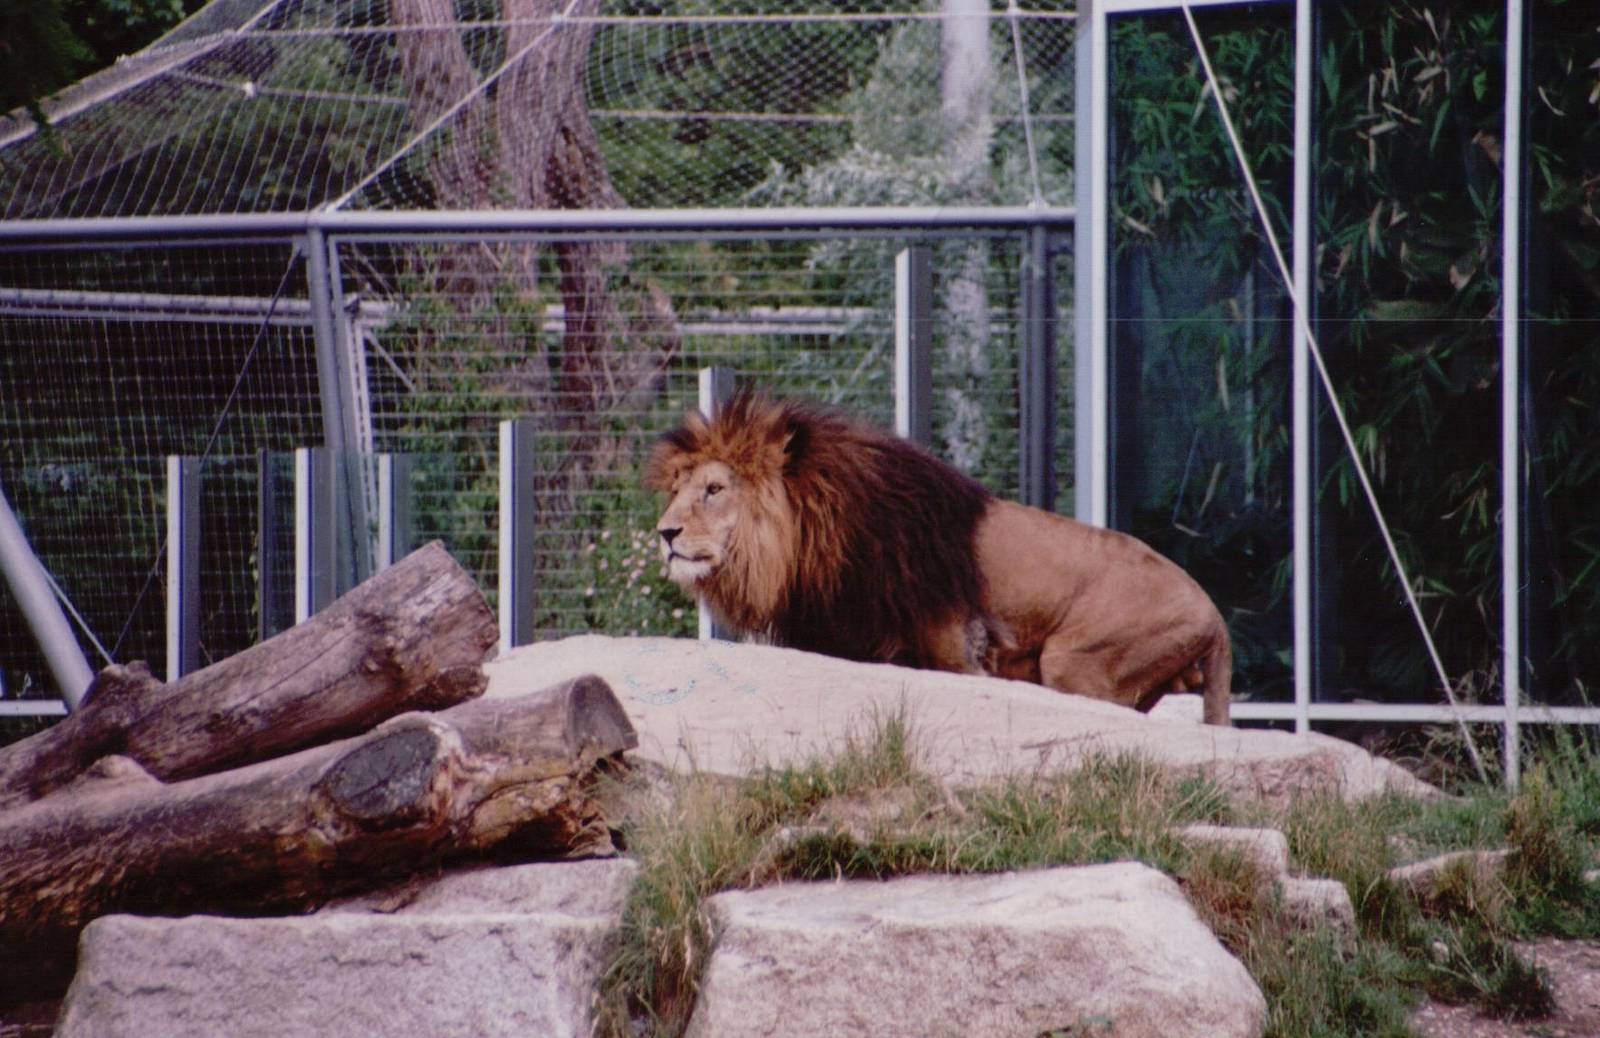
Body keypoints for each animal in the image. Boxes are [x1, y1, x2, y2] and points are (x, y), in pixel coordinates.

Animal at [644, 393, 1231, 724]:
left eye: (714, 489)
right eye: (676, 488)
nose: (665, 532)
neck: (812, 541)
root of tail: (1215, 614)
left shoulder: (960, 649)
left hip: (1077, 661)